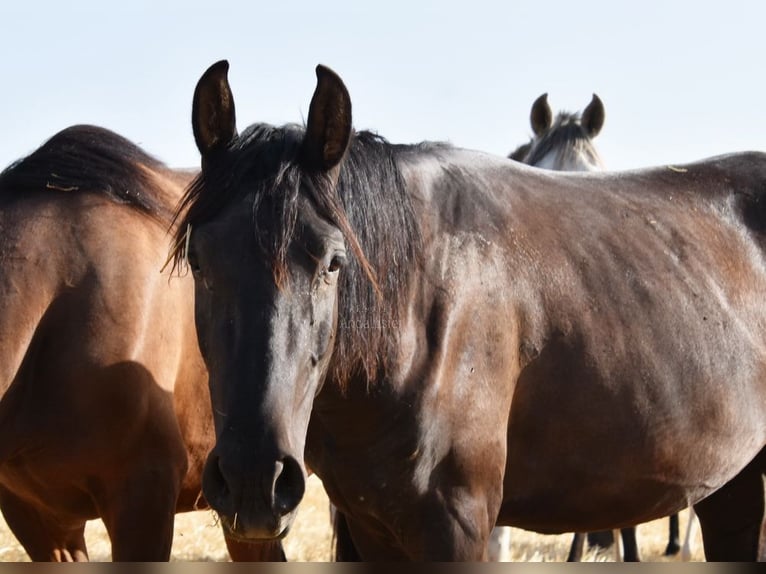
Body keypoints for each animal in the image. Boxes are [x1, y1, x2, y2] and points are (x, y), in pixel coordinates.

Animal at [171, 62, 766, 564]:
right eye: (199, 259)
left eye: (333, 262)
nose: (254, 482)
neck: (420, 313)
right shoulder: (373, 527)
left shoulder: (457, 524)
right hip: (733, 487)